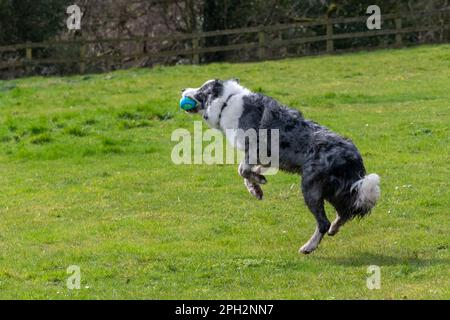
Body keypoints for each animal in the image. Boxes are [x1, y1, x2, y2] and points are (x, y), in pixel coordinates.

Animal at [179, 79, 380, 252]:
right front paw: (256, 188)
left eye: (200, 90)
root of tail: (353, 155)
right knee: (345, 212)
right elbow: (247, 173)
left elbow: (242, 170)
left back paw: (309, 247)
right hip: (334, 190)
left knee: (324, 222)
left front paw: (259, 181)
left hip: (311, 188)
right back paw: (334, 229)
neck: (226, 102)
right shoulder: (263, 157)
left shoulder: (255, 148)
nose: (183, 89)